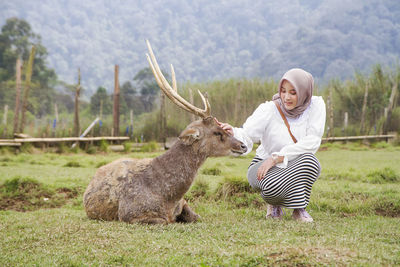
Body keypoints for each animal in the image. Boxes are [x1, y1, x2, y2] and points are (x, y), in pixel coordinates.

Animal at [83, 40, 247, 224]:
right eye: (217, 133)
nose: (243, 145)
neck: (169, 197)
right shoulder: (129, 214)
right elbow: (164, 221)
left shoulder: (184, 203)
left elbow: (197, 217)